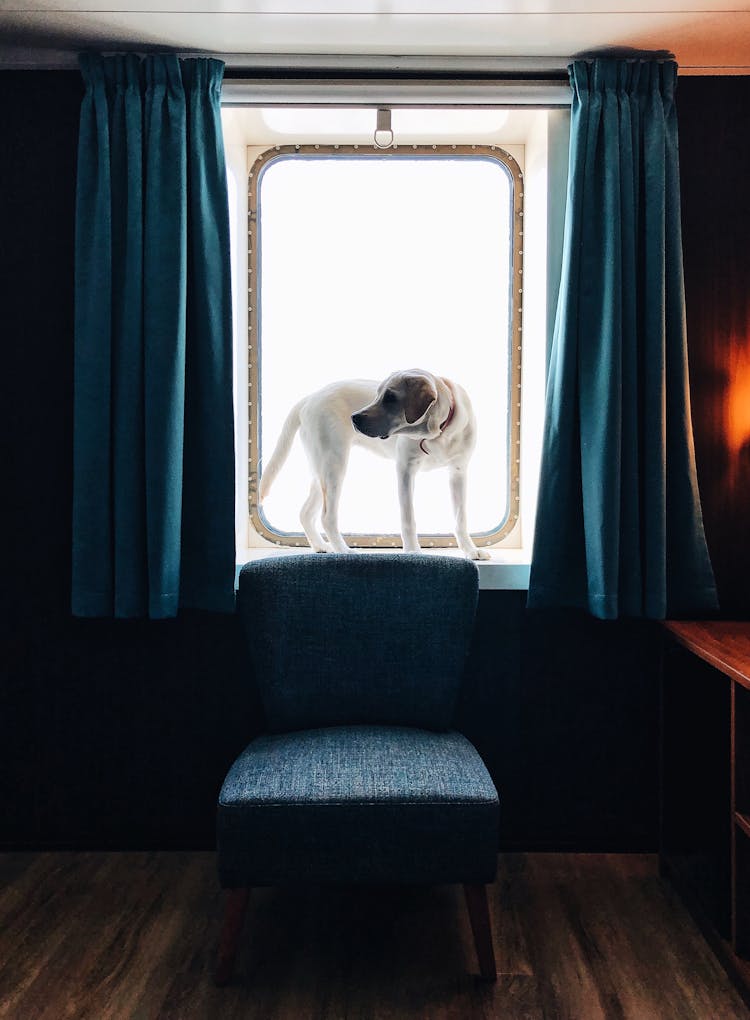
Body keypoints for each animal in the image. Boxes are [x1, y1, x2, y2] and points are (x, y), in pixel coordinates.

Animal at [259, 369, 493, 563]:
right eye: (377, 395)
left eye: (390, 398)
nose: (354, 418)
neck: (437, 433)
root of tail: (311, 397)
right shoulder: (405, 470)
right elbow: (408, 518)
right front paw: (413, 552)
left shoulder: (458, 472)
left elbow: (460, 519)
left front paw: (470, 550)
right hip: (334, 465)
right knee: (327, 517)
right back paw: (344, 551)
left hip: (322, 470)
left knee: (306, 512)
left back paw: (320, 546)